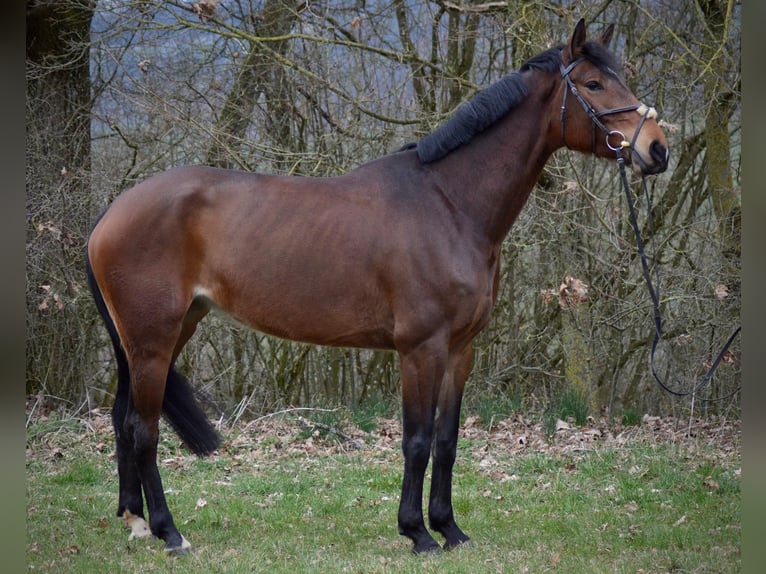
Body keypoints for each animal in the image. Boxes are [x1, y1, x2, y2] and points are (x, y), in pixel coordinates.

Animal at [87, 20, 668, 556]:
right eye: (593, 83)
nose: (658, 149)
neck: (449, 204)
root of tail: (111, 213)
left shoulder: (460, 350)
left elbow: (447, 440)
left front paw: (450, 529)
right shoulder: (420, 348)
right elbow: (415, 441)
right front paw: (417, 533)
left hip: (165, 334)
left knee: (122, 418)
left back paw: (135, 521)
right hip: (154, 339)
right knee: (143, 429)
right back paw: (169, 532)